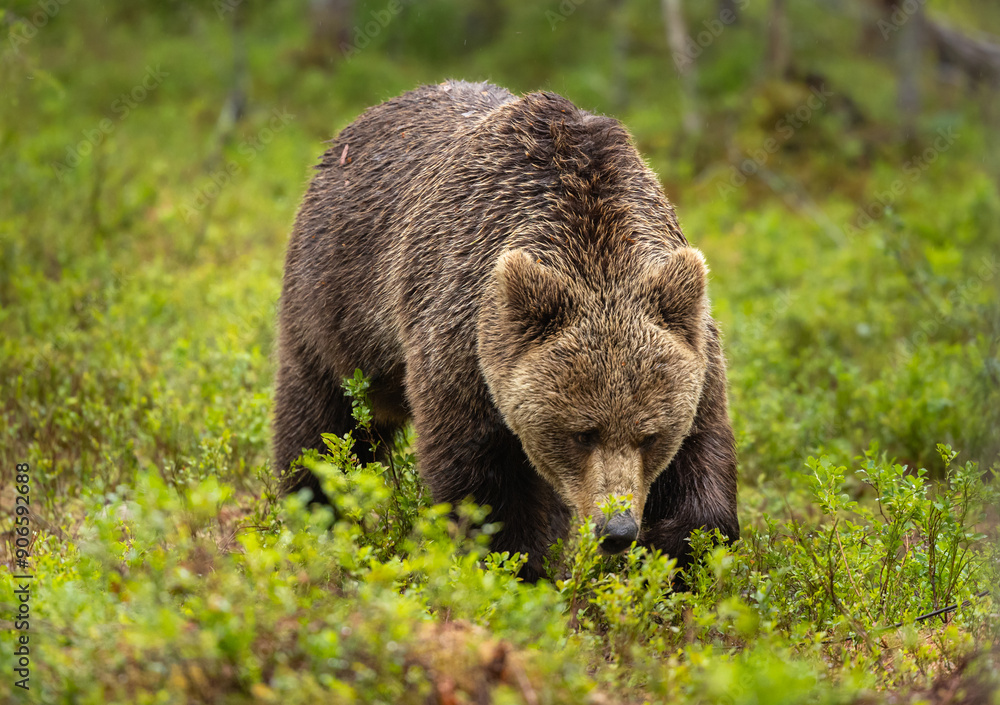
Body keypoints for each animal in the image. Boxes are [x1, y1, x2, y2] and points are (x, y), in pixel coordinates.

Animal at [273, 80, 738, 582]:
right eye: (582, 432)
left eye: (650, 434)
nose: (616, 528)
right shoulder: (464, 340)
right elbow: (483, 481)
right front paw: (517, 566)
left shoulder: (697, 354)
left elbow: (701, 462)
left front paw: (687, 556)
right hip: (334, 302)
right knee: (321, 420)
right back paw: (312, 511)